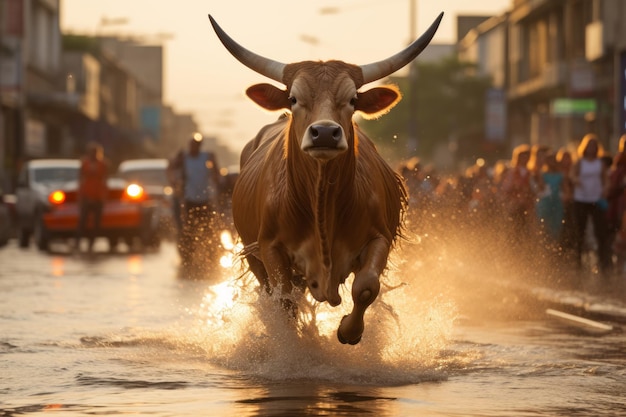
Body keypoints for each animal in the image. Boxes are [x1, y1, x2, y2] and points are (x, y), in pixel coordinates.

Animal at [210, 13, 444, 344]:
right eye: (293, 98)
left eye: (352, 99)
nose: (324, 133)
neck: (321, 201)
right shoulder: (269, 248)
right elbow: (285, 301)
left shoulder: (380, 237)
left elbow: (366, 287)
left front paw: (349, 330)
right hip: (255, 256)